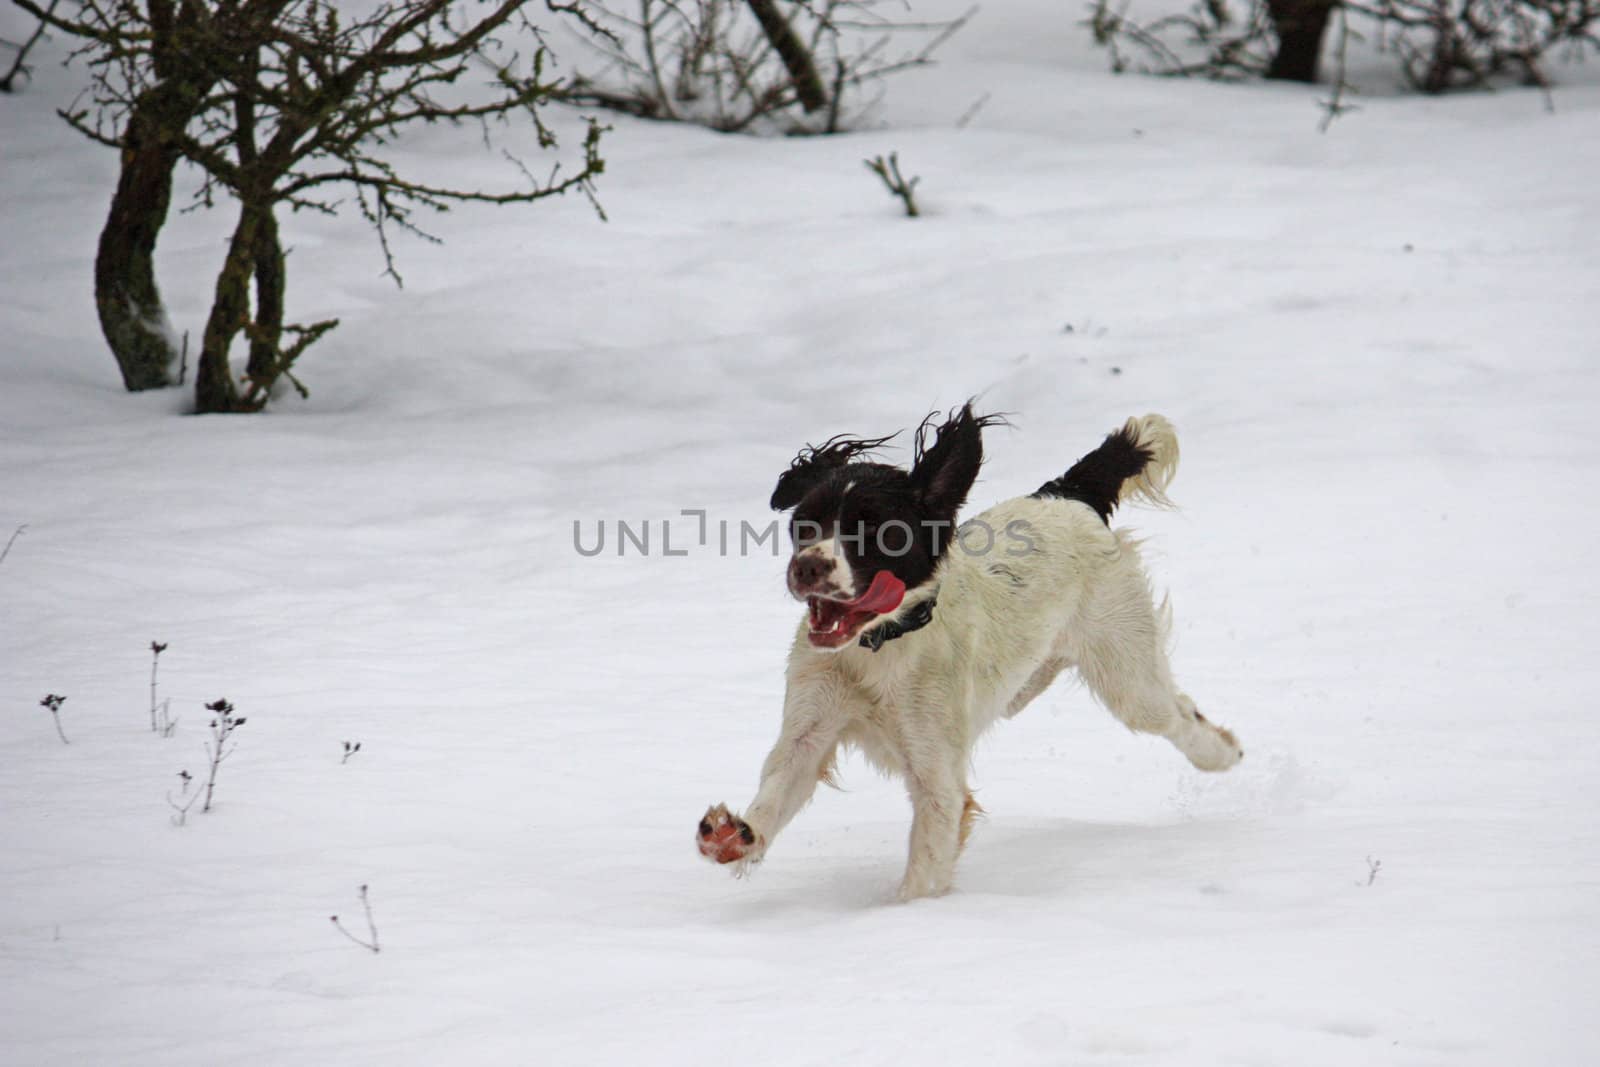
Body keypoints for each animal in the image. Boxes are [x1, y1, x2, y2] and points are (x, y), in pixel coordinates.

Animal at [697, 409, 1235, 902]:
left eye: (875, 530)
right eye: (804, 524)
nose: (807, 567)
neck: (879, 648)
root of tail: (1066, 495)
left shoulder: (937, 776)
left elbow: (925, 866)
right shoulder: (810, 729)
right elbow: (777, 789)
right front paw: (732, 837)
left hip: (1127, 670)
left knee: (1178, 713)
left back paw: (1222, 754)